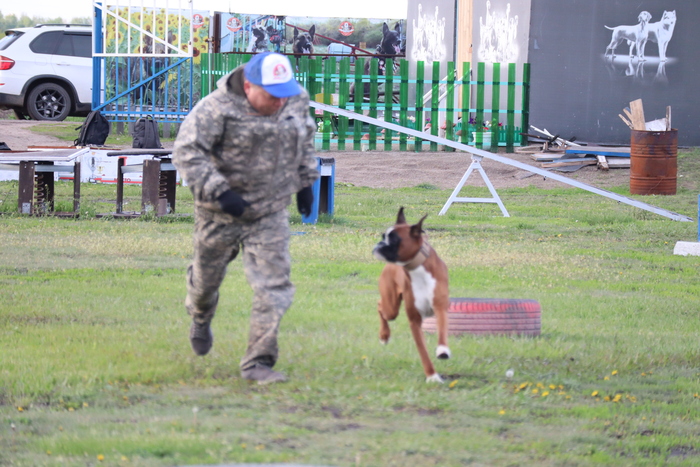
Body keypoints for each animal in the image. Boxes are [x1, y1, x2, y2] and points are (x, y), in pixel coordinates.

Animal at [373, 207, 450, 383]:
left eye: (394, 239)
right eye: (383, 236)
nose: (379, 244)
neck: (417, 270)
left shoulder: (440, 307)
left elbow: (442, 330)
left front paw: (442, 350)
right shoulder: (415, 321)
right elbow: (423, 352)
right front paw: (432, 376)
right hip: (391, 307)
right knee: (380, 306)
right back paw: (384, 335)